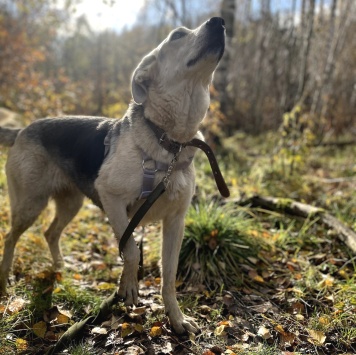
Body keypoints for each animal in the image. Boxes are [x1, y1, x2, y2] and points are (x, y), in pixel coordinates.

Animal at [0, 16, 225, 334]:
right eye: (177, 35)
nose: (220, 22)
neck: (169, 143)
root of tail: (22, 130)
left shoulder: (175, 221)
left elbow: (169, 276)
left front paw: (176, 318)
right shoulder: (113, 200)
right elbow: (129, 249)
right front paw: (128, 287)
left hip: (70, 203)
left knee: (50, 232)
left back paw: (60, 269)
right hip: (31, 204)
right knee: (9, 237)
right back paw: (5, 277)